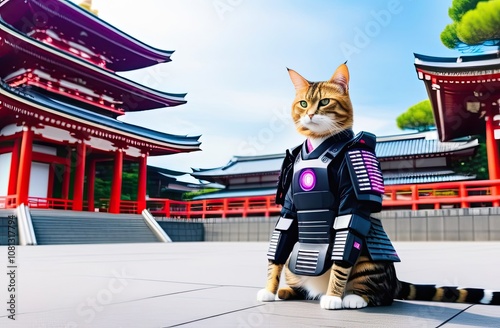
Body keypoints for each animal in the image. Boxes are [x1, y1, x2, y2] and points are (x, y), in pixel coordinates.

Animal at [256, 62, 498, 310]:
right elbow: (282, 235)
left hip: (369, 257)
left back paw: (351, 298)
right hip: (294, 261)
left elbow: (347, 231)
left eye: (324, 102)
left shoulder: (353, 182)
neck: (318, 142)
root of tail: (396, 280)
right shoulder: (289, 205)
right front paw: (269, 290)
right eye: (303, 104)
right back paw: (288, 290)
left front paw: (333, 297)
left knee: (380, 292)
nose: (311, 114)